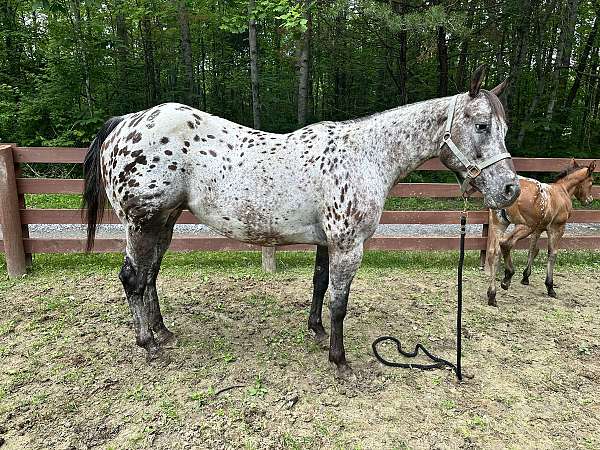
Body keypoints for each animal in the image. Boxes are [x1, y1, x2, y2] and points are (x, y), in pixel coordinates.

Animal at [83, 67, 520, 376]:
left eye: (503, 128)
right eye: (482, 126)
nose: (510, 189)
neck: (366, 155)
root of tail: (127, 122)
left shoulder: (328, 242)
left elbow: (320, 285)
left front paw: (317, 331)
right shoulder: (348, 245)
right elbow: (340, 302)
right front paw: (340, 361)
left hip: (165, 223)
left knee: (150, 276)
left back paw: (163, 332)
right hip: (142, 223)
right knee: (133, 279)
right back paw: (148, 344)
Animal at [488, 159, 596, 306]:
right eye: (591, 181)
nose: (589, 200)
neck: (562, 190)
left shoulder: (538, 229)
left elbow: (532, 249)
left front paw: (525, 277)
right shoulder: (557, 228)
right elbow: (552, 254)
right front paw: (550, 287)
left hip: (499, 225)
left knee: (494, 252)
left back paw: (492, 295)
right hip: (525, 226)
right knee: (505, 243)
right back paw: (507, 278)